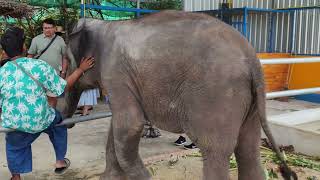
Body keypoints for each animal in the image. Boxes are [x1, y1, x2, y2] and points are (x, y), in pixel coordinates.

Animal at [62, 10, 298, 180]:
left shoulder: (116, 73)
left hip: (217, 95)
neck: (100, 26)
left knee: (216, 151)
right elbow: (117, 127)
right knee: (248, 151)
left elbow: (130, 124)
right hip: (251, 102)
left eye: (63, 66)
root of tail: (251, 58)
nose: (69, 123)